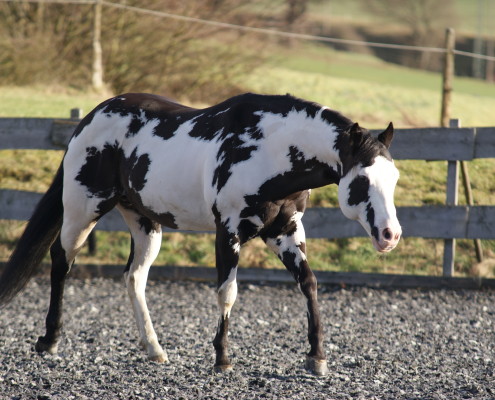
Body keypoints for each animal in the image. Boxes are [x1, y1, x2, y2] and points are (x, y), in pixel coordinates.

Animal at [0, 92, 401, 376]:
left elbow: (310, 284)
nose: (390, 235)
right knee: (60, 262)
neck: (269, 150)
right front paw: (222, 359)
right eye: (363, 180)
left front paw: (316, 358)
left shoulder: (285, 232)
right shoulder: (228, 232)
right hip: (83, 209)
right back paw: (50, 341)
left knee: (134, 278)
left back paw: (155, 350)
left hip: (145, 224)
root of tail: (90, 117)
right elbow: (228, 293)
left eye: (394, 178)